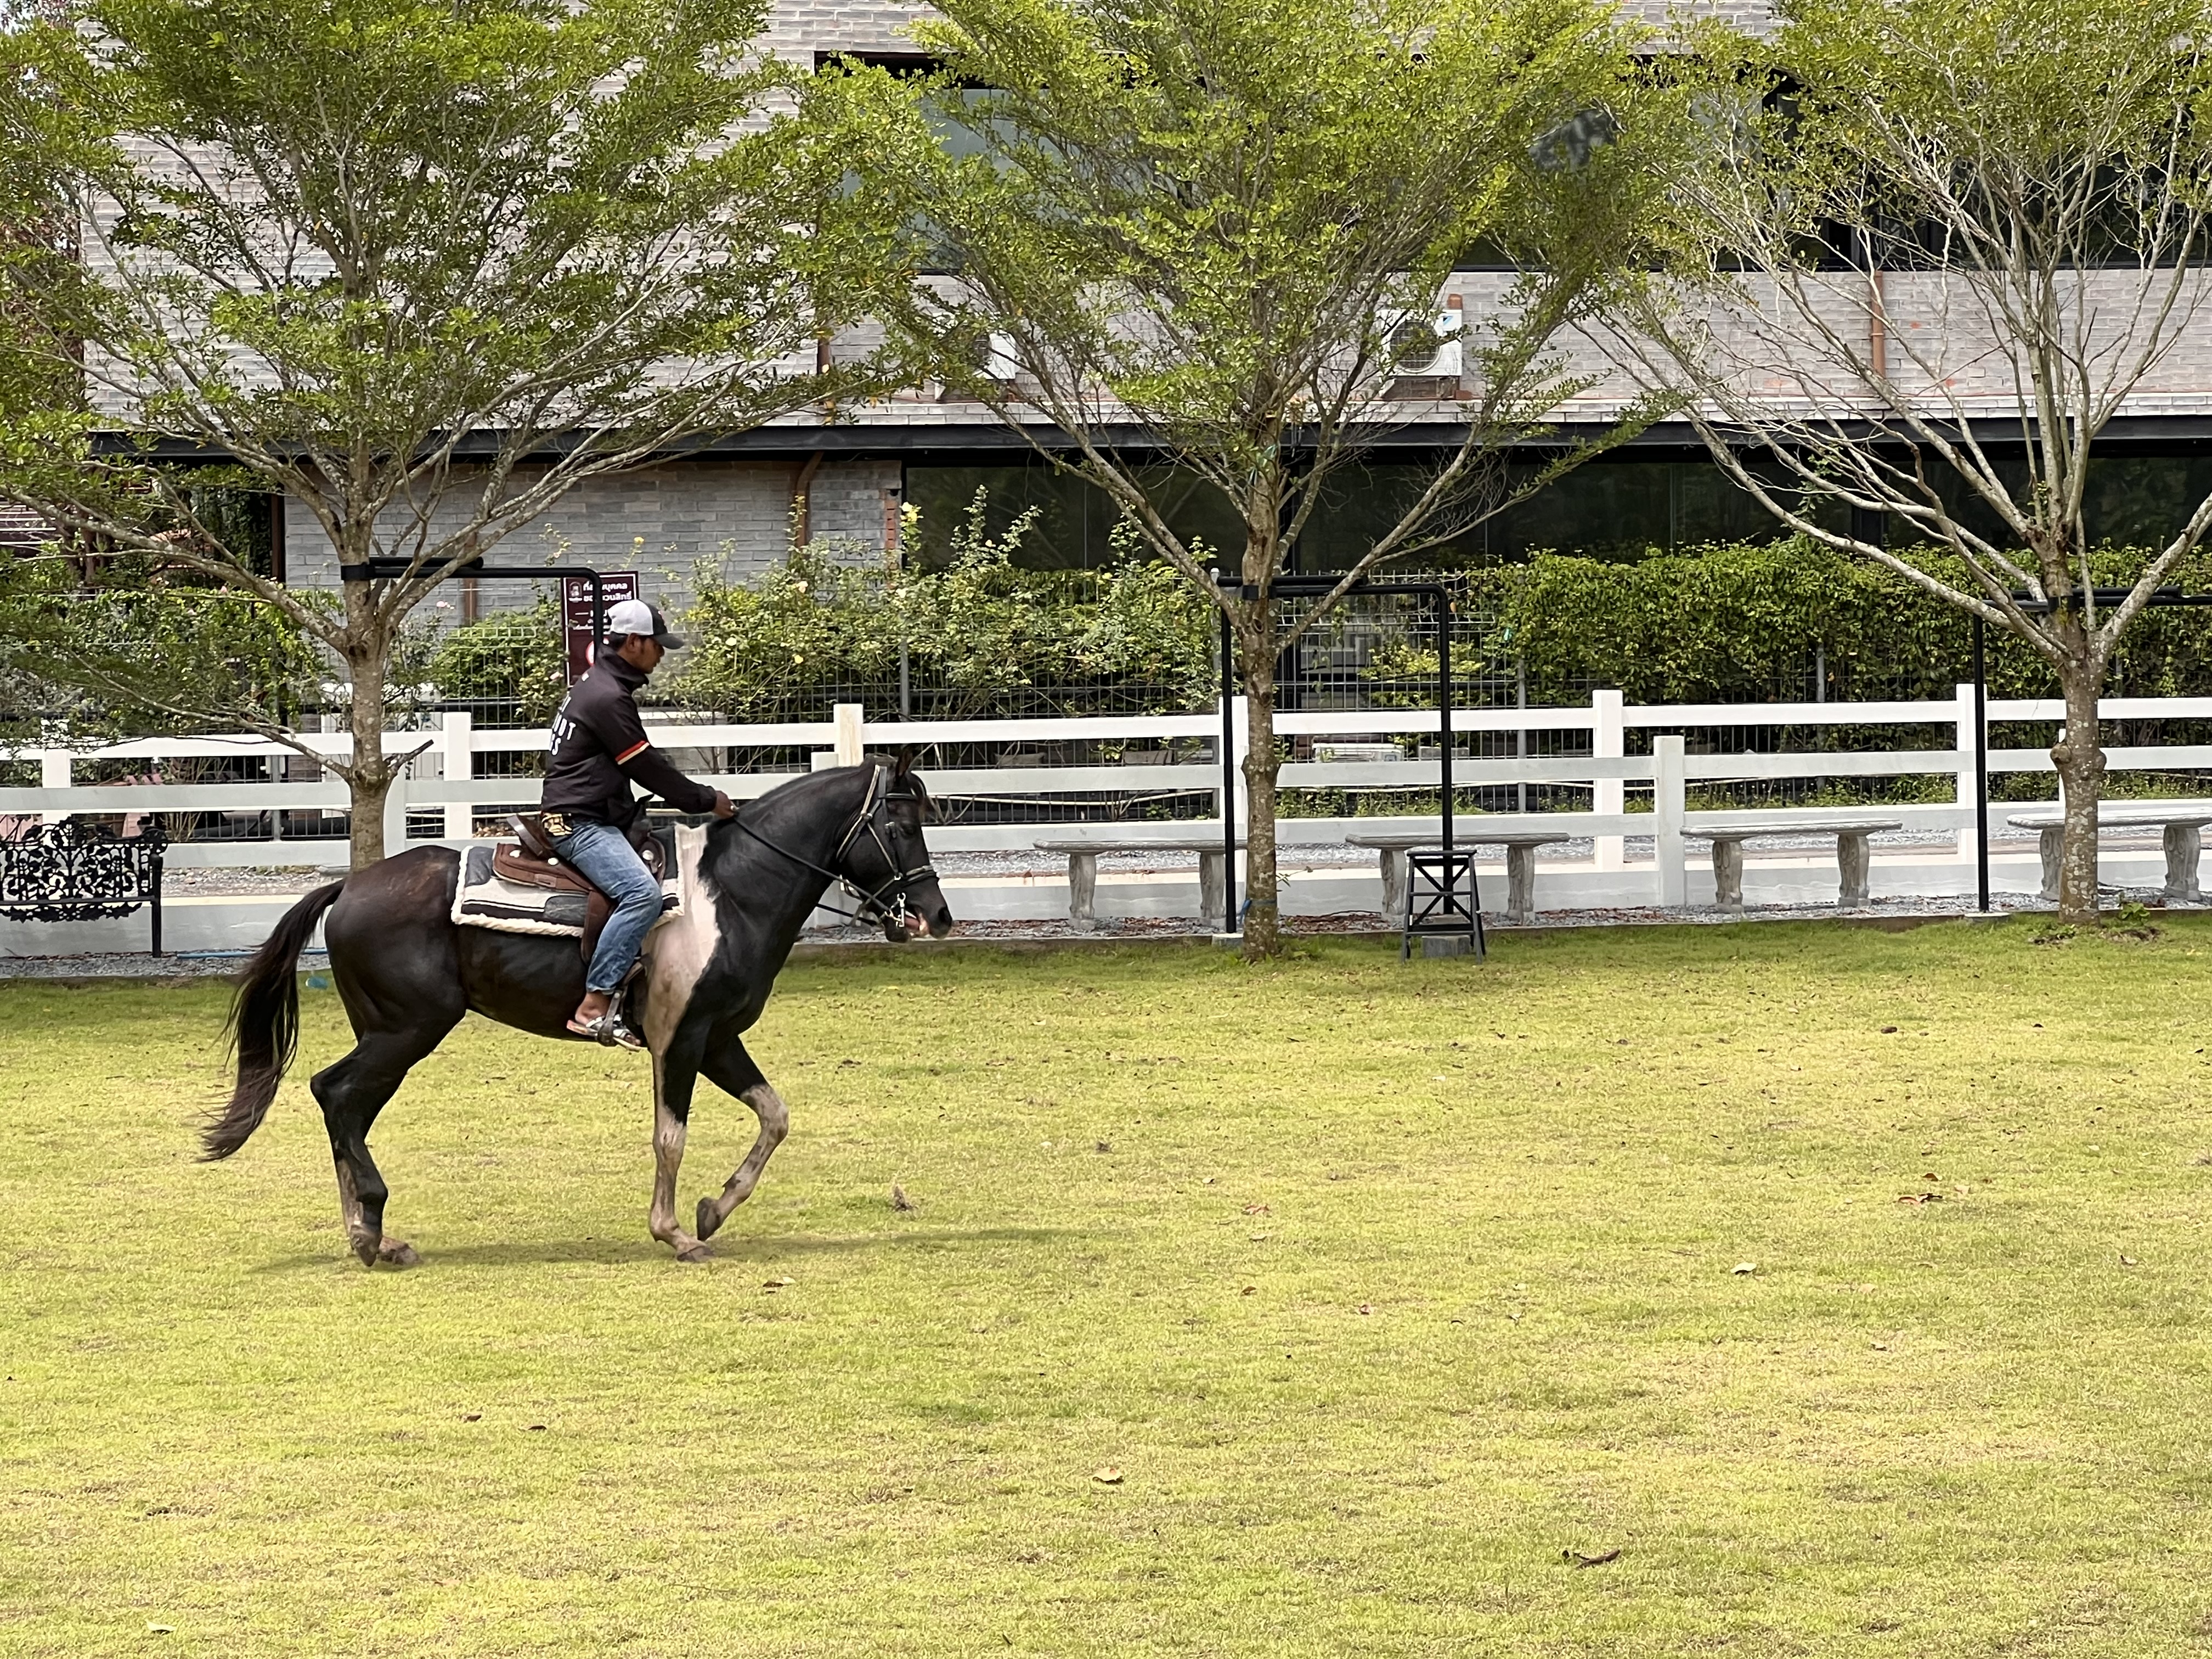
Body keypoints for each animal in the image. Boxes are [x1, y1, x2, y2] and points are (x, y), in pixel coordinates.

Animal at [201, 755, 954, 1266]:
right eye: (899, 824)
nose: (935, 917)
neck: (729, 891)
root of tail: (348, 887)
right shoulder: (680, 1040)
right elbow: (670, 1136)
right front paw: (674, 1233)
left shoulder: (716, 1039)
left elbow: (775, 1117)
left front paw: (713, 1210)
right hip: (406, 1030)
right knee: (336, 1094)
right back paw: (369, 1228)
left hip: (389, 1034)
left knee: (347, 1106)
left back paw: (371, 1234)